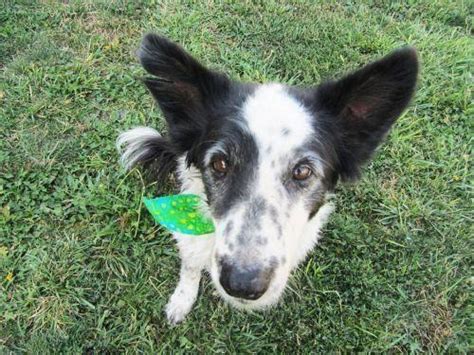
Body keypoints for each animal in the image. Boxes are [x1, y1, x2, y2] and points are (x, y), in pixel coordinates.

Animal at [116, 33, 416, 326]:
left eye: (302, 171)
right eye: (219, 164)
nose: (242, 284)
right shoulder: (190, 234)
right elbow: (190, 267)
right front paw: (182, 300)